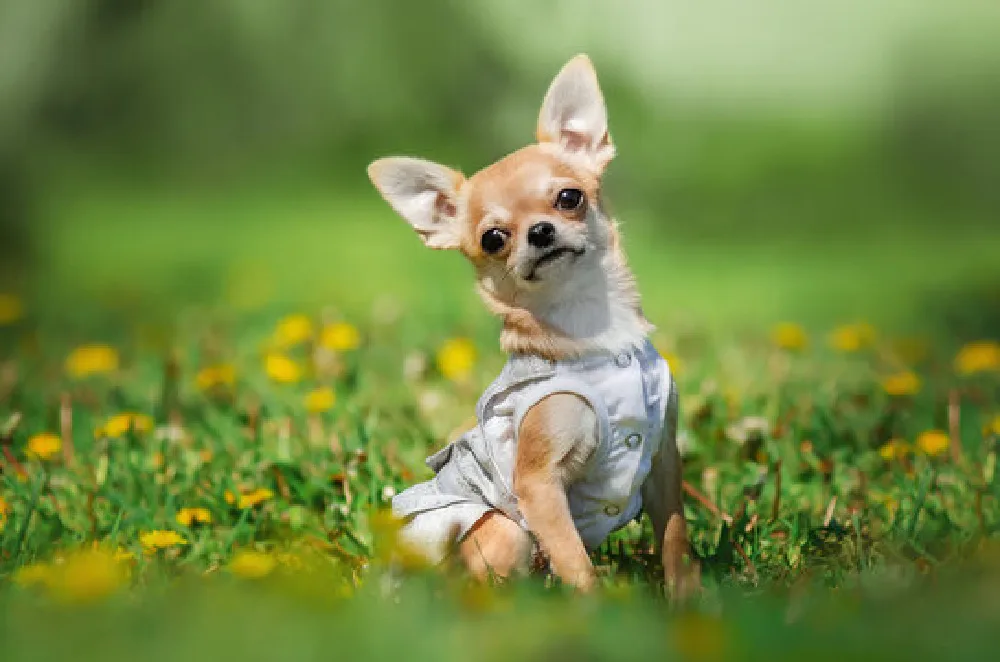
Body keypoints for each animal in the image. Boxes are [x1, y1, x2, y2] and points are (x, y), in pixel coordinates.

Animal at [366, 54, 696, 600]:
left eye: (569, 197)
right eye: (494, 238)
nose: (539, 232)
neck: (588, 325)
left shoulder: (663, 459)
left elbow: (674, 538)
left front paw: (688, 601)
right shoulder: (538, 487)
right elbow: (575, 560)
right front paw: (600, 612)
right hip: (504, 531)